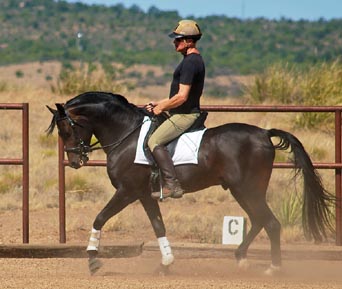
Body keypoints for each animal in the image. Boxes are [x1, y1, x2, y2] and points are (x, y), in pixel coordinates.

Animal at [47, 91, 334, 274]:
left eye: (67, 129)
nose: (75, 160)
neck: (126, 134)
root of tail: (264, 133)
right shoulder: (144, 194)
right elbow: (158, 226)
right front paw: (166, 263)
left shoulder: (126, 191)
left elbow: (99, 218)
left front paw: (93, 260)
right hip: (243, 191)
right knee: (259, 221)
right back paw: (241, 259)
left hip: (248, 189)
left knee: (271, 223)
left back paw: (273, 268)